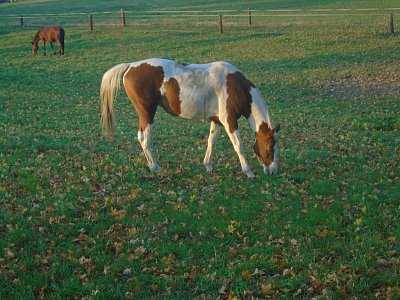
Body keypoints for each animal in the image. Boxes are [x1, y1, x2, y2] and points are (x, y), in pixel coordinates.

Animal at [100, 57, 282, 177]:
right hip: (147, 113)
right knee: (144, 138)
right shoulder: (229, 121)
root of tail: (130, 66)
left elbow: (211, 142)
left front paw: (208, 165)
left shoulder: (217, 121)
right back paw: (155, 167)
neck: (234, 85)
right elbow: (239, 146)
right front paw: (248, 171)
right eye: (269, 148)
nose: (273, 171)